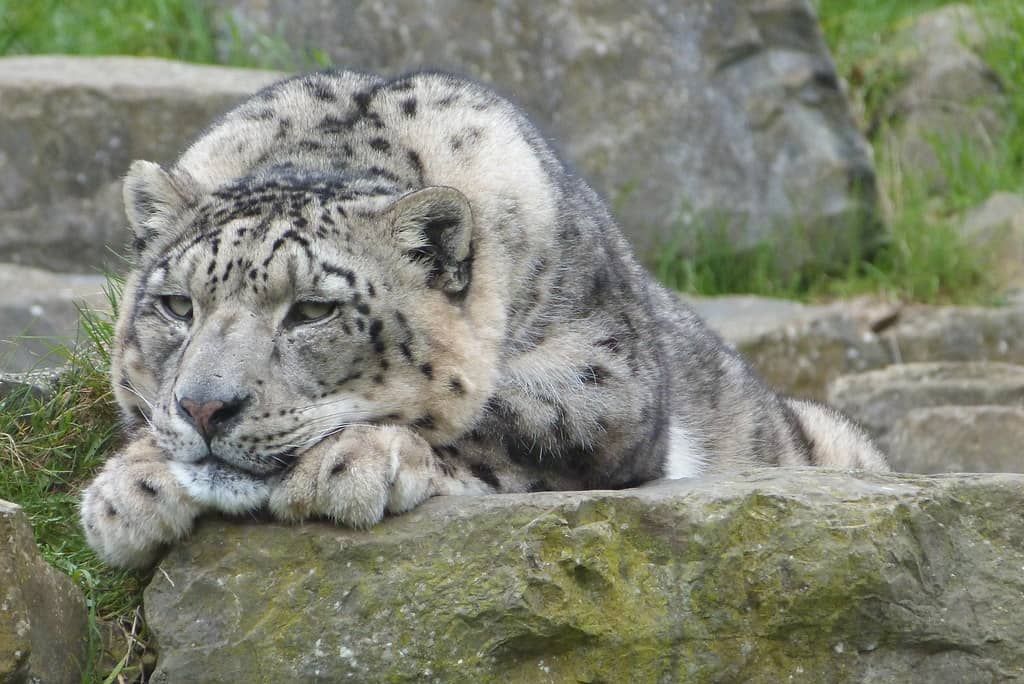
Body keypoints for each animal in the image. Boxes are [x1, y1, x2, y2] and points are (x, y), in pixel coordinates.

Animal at [80, 69, 887, 568]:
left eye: (312, 310)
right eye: (176, 305)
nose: (205, 407)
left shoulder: (609, 382)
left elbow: (502, 414)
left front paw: (353, 461)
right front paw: (130, 491)